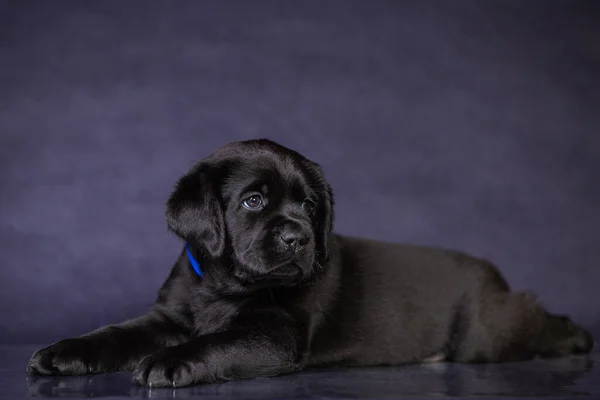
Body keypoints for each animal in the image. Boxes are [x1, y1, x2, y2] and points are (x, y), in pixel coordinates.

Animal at [27, 140, 592, 388]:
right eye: (254, 201)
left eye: (311, 206)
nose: (298, 237)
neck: (224, 286)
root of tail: (491, 273)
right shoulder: (167, 317)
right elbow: (116, 333)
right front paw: (64, 352)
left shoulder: (276, 335)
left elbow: (217, 342)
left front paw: (173, 360)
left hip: (483, 336)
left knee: (534, 315)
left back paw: (580, 334)